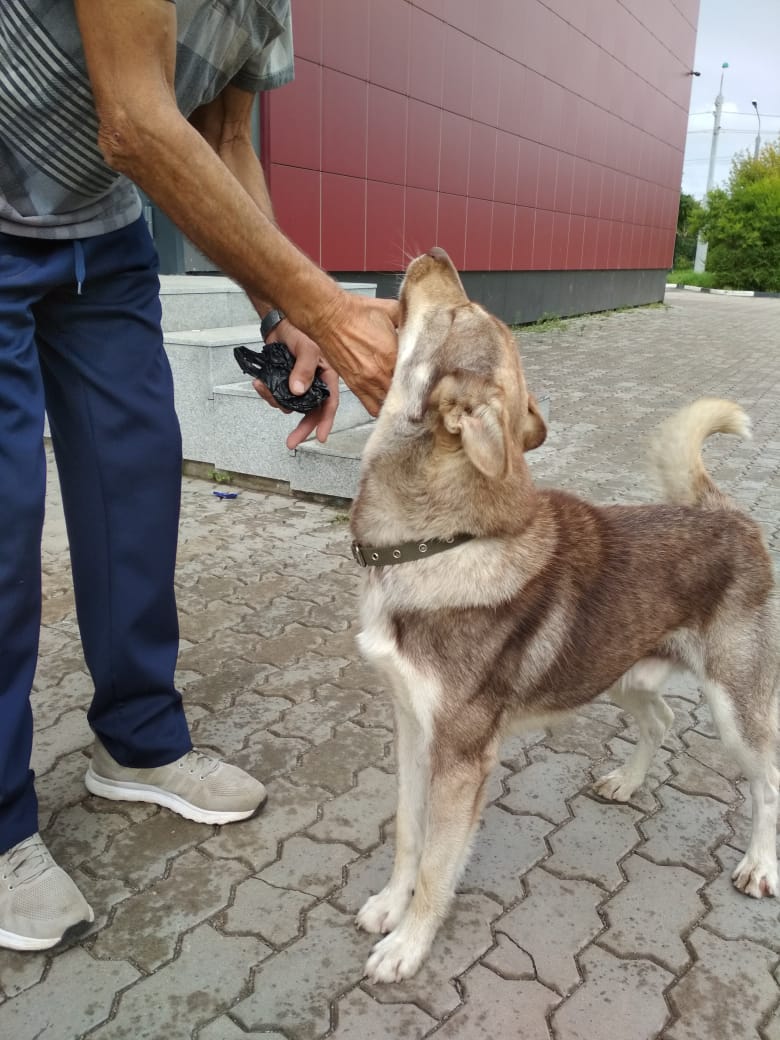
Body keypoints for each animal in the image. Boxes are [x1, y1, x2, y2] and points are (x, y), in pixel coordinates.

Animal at [351, 245, 777, 981]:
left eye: (460, 312)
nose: (435, 254)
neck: (437, 544)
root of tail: (728, 513)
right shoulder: (409, 726)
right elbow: (408, 833)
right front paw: (388, 904)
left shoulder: (462, 760)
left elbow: (437, 864)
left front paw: (409, 943)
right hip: (621, 673)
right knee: (661, 720)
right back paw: (628, 782)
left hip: (735, 710)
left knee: (768, 780)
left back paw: (759, 864)